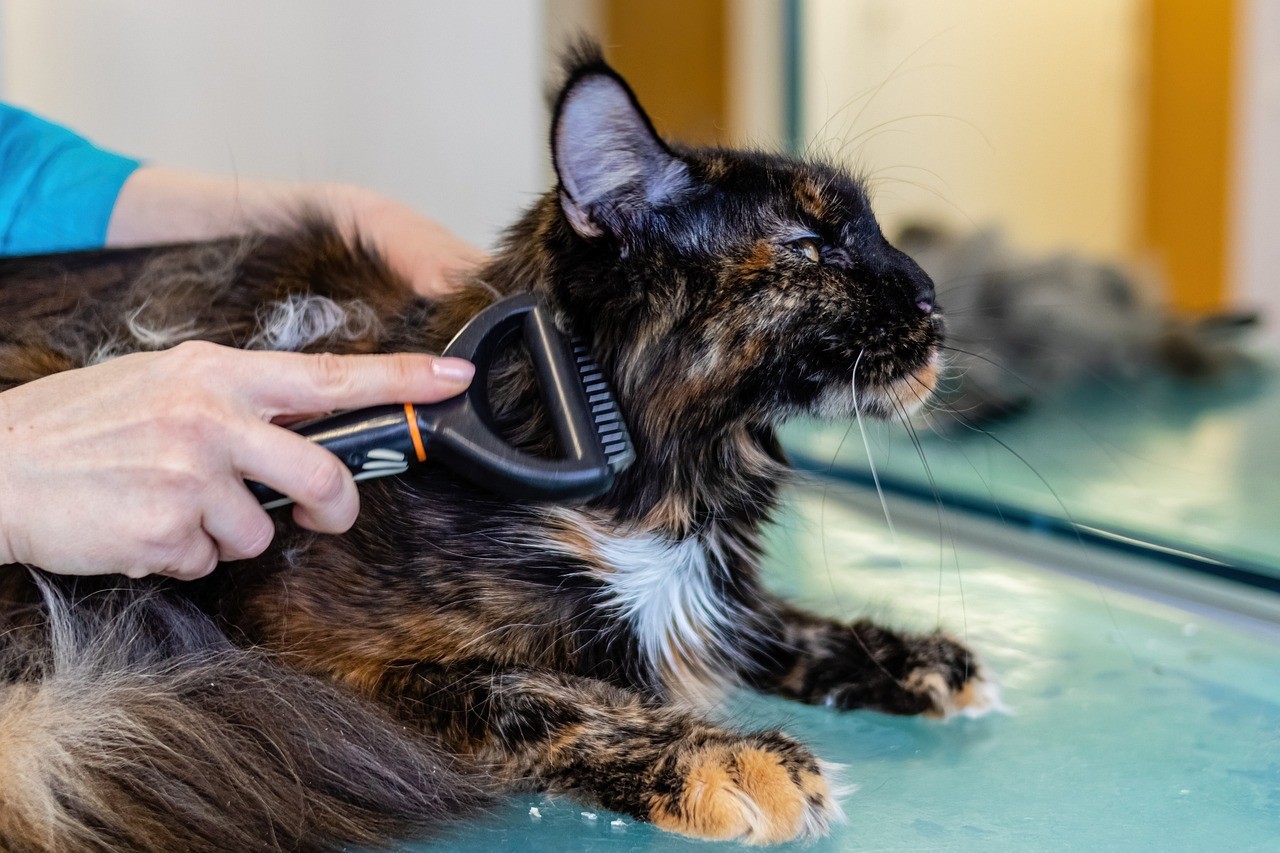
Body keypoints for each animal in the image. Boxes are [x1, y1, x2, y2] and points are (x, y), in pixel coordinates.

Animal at [0, 49, 998, 845]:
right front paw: (727, 758)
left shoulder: (710, 585)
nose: (930, 295)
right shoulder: (323, 655)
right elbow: (543, 693)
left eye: (868, 231)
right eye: (808, 245)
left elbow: (768, 618)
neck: (672, 481)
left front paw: (909, 655)